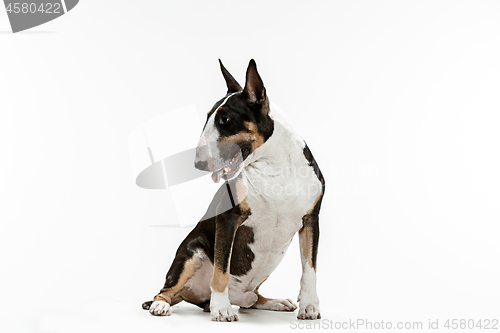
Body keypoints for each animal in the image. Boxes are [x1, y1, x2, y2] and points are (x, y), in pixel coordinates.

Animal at [143, 59, 326, 320]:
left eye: (226, 119)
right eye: (208, 117)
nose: (198, 164)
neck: (274, 167)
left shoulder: (311, 220)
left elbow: (310, 268)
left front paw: (310, 306)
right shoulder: (228, 218)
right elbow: (221, 271)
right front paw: (221, 309)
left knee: (252, 300)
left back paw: (275, 302)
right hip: (191, 252)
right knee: (165, 290)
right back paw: (162, 305)